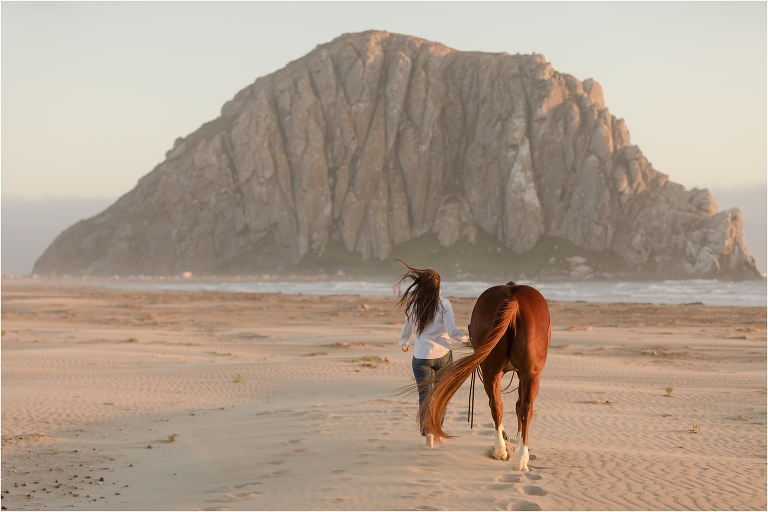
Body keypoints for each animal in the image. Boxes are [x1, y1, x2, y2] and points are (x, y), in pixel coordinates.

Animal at [418, 281, 551, 471]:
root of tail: (513, 298)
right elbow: (517, 406)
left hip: (501, 373)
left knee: (504, 406)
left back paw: (510, 453)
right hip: (519, 374)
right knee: (517, 407)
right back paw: (512, 455)